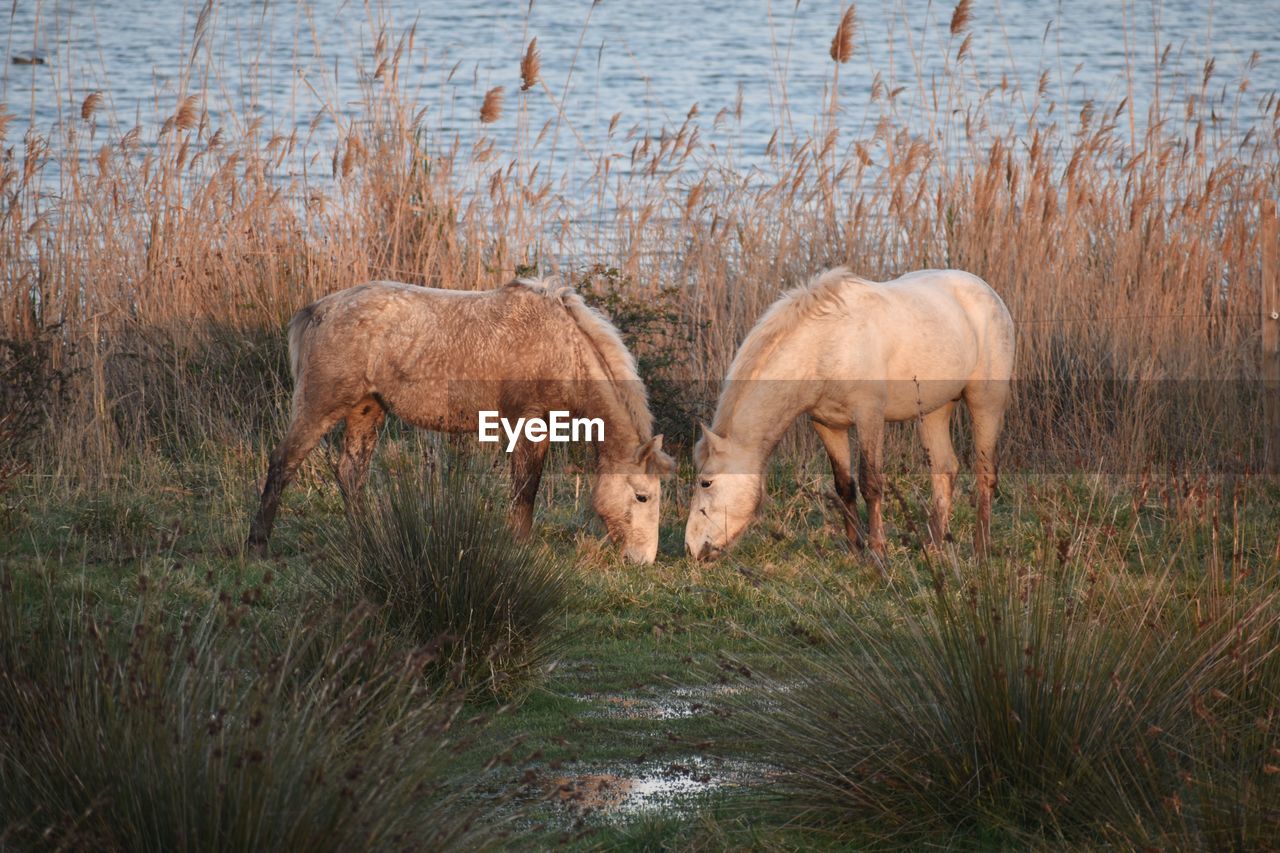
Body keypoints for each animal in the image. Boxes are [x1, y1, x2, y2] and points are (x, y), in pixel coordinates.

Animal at [243, 275, 675, 560]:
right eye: (642, 496)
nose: (643, 560)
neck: (562, 345)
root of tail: (318, 310)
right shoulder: (528, 422)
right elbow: (525, 488)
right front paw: (519, 547)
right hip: (321, 404)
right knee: (283, 462)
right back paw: (258, 544)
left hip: (367, 408)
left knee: (350, 473)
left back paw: (367, 539)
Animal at [686, 262, 1013, 560]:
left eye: (706, 482)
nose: (692, 548)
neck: (824, 345)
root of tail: (989, 293)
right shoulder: (828, 424)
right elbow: (844, 485)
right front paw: (856, 551)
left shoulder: (869, 416)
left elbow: (871, 483)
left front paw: (878, 553)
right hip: (934, 410)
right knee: (945, 469)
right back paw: (933, 547)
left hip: (986, 402)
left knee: (985, 473)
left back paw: (981, 550)